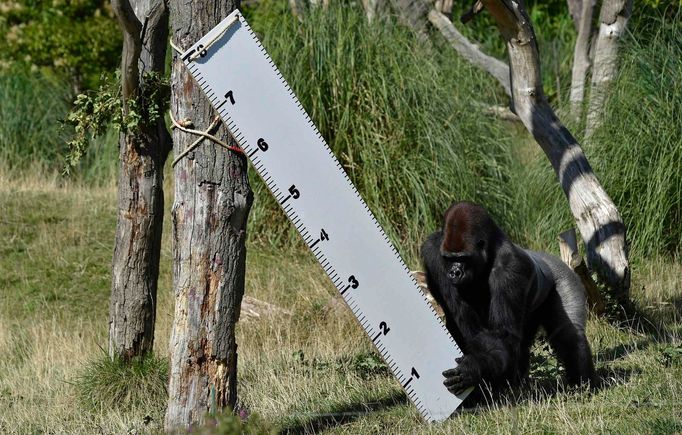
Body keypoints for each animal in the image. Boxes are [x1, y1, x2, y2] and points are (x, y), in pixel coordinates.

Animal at [420, 201, 596, 396]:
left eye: (463, 258)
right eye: (448, 258)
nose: (454, 272)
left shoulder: (510, 266)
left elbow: (502, 334)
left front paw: (475, 367)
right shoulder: (432, 251)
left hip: (565, 275)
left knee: (569, 335)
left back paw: (583, 385)